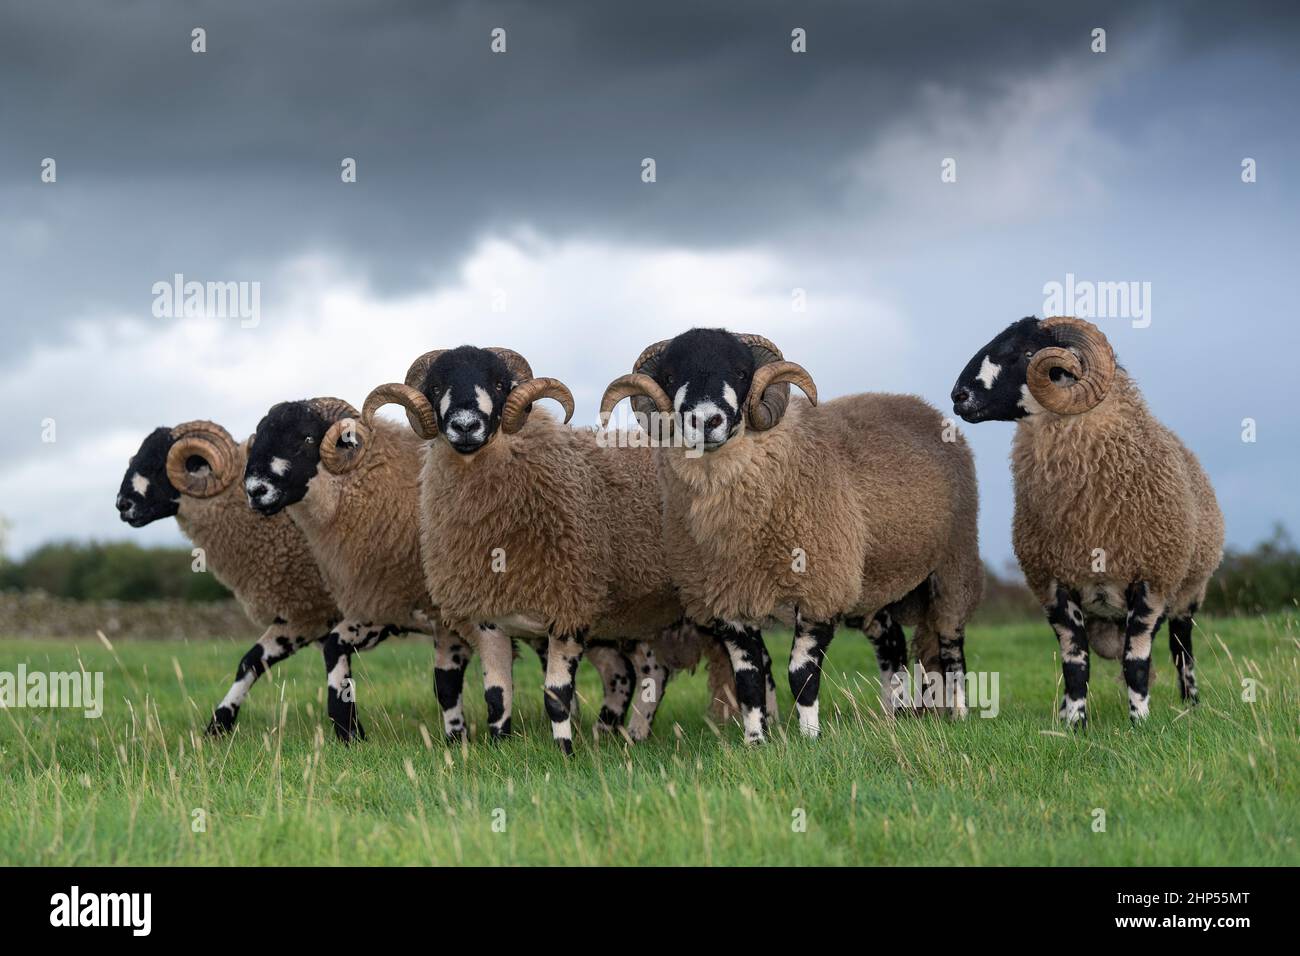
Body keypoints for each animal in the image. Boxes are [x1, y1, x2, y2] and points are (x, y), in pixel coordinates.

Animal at [114, 421, 340, 734]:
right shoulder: (301, 615)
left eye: (159, 464)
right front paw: (218, 726)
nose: (121, 505)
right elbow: (251, 662)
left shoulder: (309, 609)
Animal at [362, 345, 717, 753]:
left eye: (500, 384)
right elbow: (497, 695)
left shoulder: (569, 608)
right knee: (648, 673)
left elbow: (556, 695)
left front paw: (564, 752)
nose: (465, 426)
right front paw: (499, 748)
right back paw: (626, 737)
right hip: (637, 614)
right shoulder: (488, 616)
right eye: (435, 387)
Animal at [601, 328, 983, 743]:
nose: (706, 420)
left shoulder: (821, 588)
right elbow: (749, 680)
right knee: (892, 644)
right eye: (670, 377)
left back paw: (959, 715)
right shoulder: (727, 600)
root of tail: (926, 408)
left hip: (953, 564)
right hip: (871, 579)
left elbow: (801, 674)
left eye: (741, 371)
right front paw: (755, 741)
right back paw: (892, 716)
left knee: (951, 644)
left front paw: (810, 738)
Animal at [950, 316, 1224, 725]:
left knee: (1182, 652)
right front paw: (1074, 723)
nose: (958, 396)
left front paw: (1139, 723)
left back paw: (1190, 705)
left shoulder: (1150, 581)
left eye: (1027, 352)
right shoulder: (1055, 586)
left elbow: (1136, 661)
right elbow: (1075, 663)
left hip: (1187, 595)